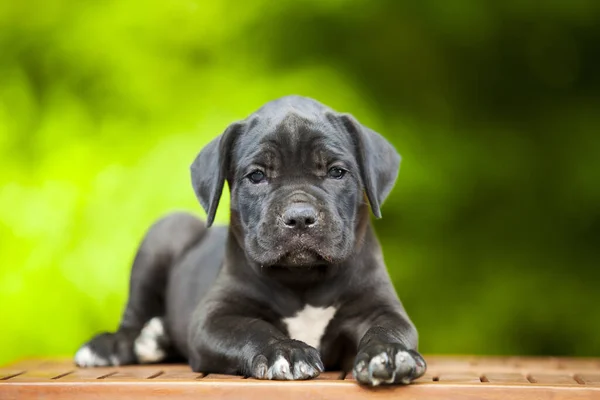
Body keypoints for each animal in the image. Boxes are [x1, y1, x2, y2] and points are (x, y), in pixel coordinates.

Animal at [75, 95, 426, 386]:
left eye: (337, 172)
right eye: (257, 176)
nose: (300, 217)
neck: (304, 280)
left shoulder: (379, 308)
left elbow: (388, 328)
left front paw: (390, 353)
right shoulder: (213, 318)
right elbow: (253, 328)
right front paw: (284, 351)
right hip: (165, 232)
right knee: (132, 318)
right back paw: (111, 346)